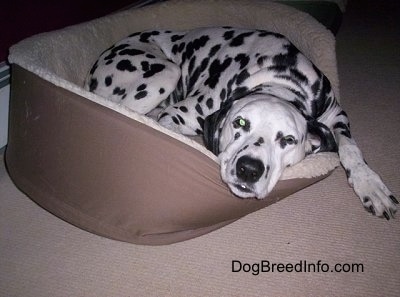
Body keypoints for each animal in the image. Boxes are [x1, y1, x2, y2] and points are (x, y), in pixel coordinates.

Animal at [85, 26, 396, 219]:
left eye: (288, 140)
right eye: (240, 123)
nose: (249, 169)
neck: (279, 78)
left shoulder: (337, 115)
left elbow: (350, 149)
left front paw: (371, 186)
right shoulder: (177, 114)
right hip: (166, 72)